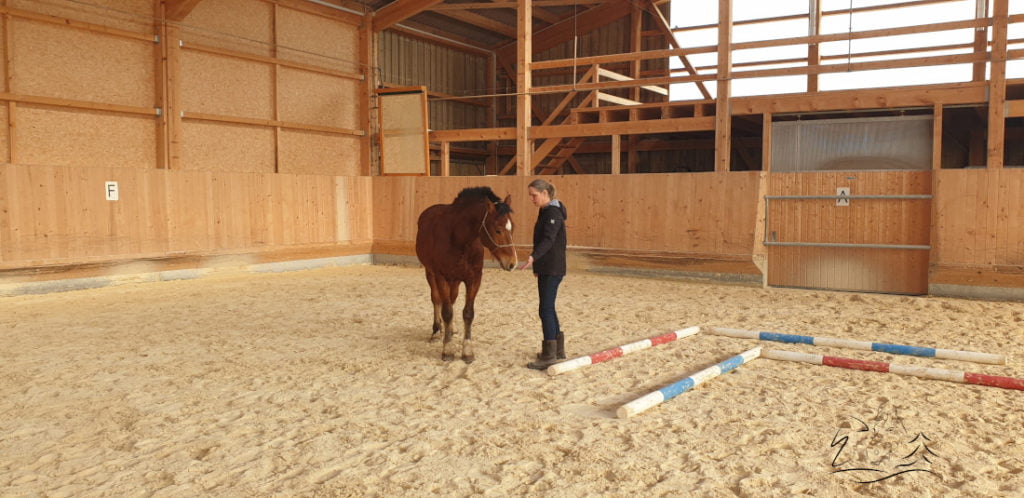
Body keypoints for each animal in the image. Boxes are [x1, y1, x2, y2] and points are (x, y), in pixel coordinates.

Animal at [415, 186, 518, 363]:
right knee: (437, 300)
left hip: (455, 280)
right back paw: (437, 331)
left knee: (452, 299)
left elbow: (468, 313)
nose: (512, 263)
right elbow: (446, 312)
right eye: (498, 230)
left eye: (513, 228)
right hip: (431, 273)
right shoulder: (441, 277)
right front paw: (448, 349)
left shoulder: (473, 279)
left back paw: (452, 328)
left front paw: (467, 351)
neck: (458, 239)